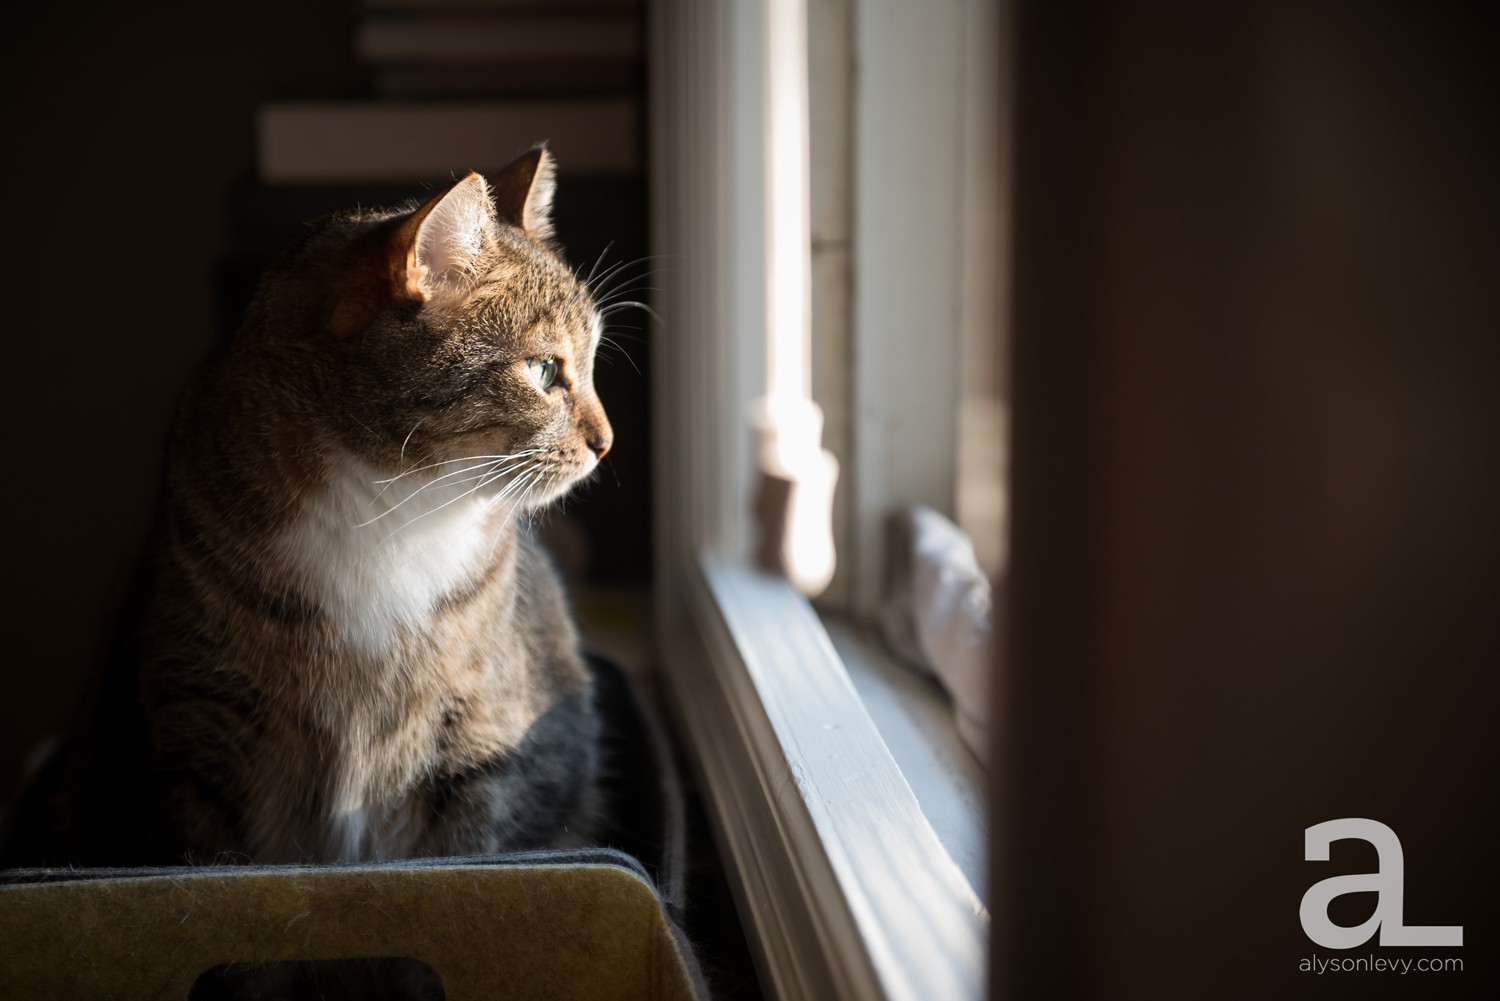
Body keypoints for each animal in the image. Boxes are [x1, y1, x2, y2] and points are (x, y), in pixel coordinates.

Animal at [0, 142, 618, 870]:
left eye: (592, 358)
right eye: (545, 371)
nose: (607, 442)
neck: (395, 507)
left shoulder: (485, 746)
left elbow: (469, 846)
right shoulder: (197, 732)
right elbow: (206, 852)